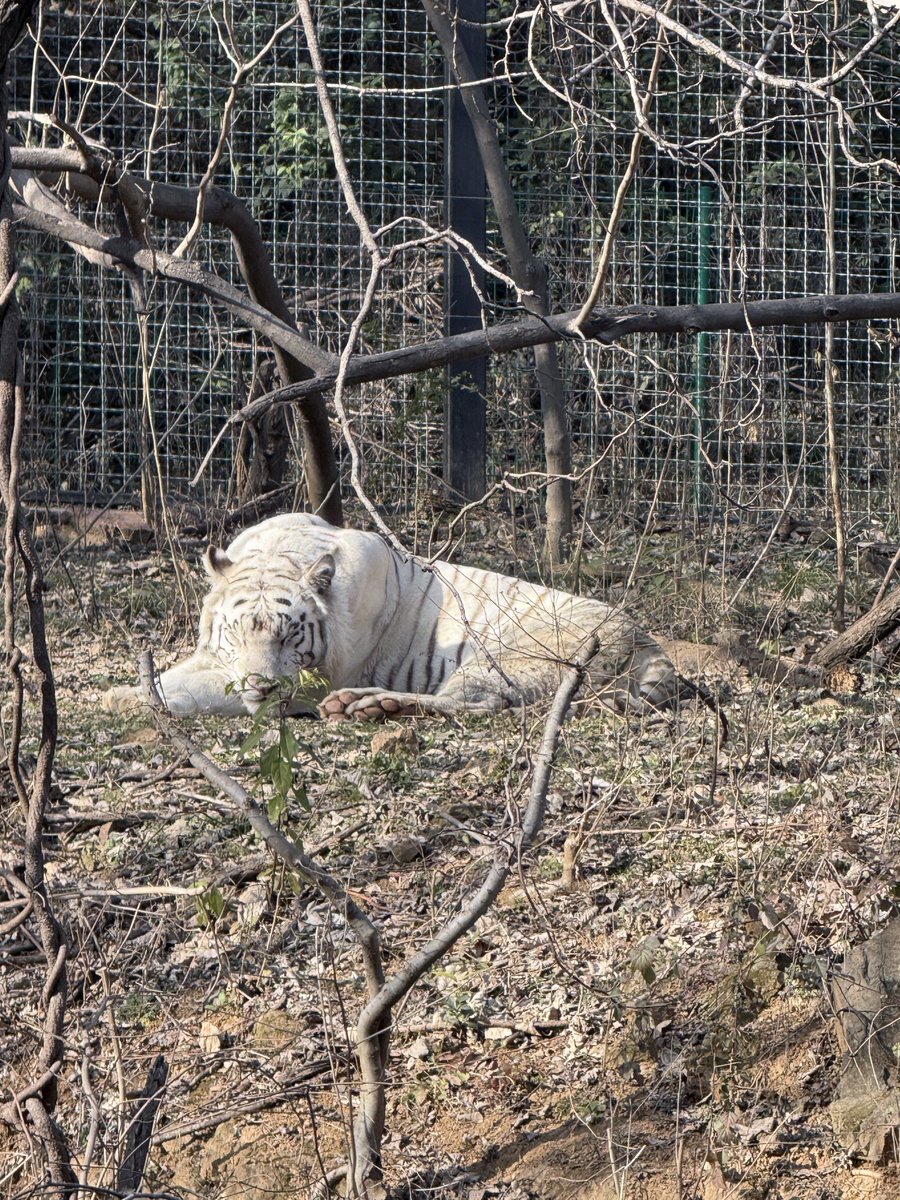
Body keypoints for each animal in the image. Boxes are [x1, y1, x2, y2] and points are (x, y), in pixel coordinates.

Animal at [103, 512, 722, 732]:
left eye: (289, 634)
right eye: (236, 633)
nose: (263, 686)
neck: (277, 556)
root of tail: (652, 646)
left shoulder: (304, 683)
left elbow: (192, 692)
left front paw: (126, 699)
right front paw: (123, 690)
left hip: (503, 660)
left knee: (470, 705)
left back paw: (369, 705)